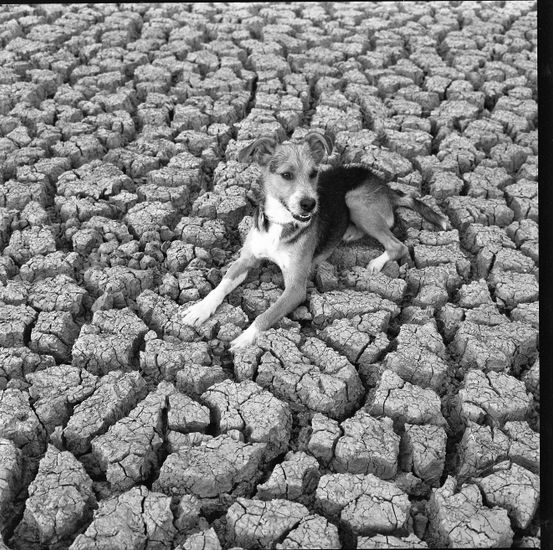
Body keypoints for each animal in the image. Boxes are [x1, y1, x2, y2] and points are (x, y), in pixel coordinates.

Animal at [181, 132, 448, 352]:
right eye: (286, 175)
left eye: (313, 173)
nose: (310, 204)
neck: (281, 224)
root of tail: (383, 183)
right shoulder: (247, 259)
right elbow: (222, 284)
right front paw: (200, 309)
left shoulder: (295, 289)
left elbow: (265, 316)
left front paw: (245, 338)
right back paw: (349, 232)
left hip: (355, 201)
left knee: (397, 244)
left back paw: (375, 262)